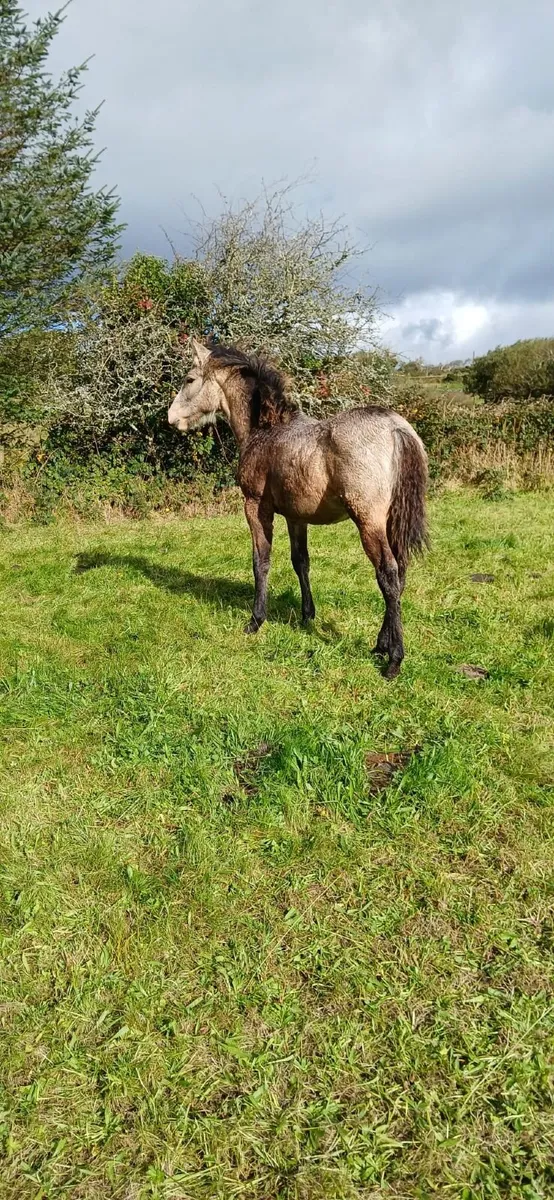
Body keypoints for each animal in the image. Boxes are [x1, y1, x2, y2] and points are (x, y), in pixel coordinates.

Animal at [168, 340, 428, 678]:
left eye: (189, 379)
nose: (171, 417)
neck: (264, 431)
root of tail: (397, 428)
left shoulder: (255, 507)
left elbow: (261, 561)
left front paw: (255, 620)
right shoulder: (296, 518)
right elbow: (300, 562)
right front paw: (307, 616)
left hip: (368, 522)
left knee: (388, 574)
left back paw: (393, 658)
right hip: (392, 521)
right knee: (401, 573)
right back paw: (380, 645)